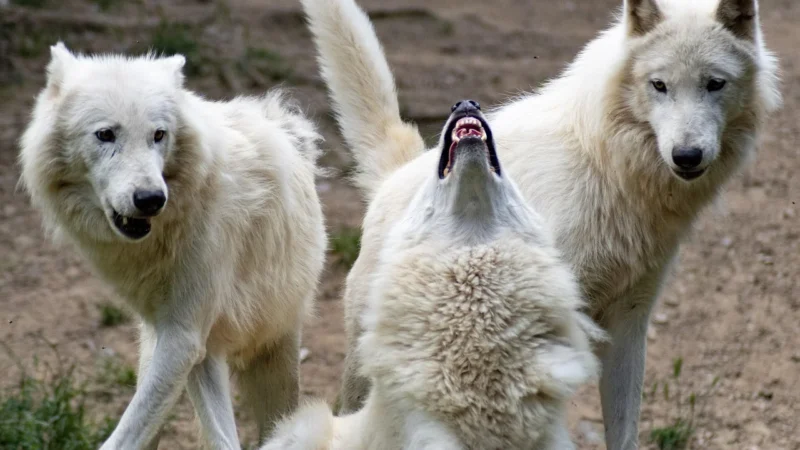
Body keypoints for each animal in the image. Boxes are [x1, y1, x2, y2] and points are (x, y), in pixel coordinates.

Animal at [18, 43, 327, 450]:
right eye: (105, 134)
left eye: (158, 134)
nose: (150, 199)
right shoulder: (181, 338)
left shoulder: (184, 335)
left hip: (273, 349)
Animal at [302, 0, 781, 448]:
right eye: (659, 85)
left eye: (714, 83)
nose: (687, 156)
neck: (608, 168)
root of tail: (397, 173)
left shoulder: (630, 320)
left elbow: (624, 429)